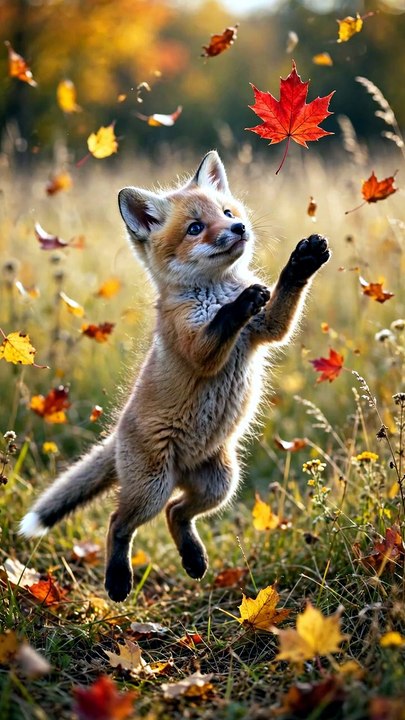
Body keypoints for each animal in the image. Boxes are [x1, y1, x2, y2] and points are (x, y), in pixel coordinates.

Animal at [20, 151, 330, 602]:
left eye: (227, 213)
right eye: (195, 228)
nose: (238, 228)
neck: (214, 290)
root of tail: (117, 434)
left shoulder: (266, 329)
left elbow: (281, 307)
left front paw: (303, 260)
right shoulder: (195, 345)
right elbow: (219, 327)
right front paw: (240, 303)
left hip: (219, 483)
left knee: (176, 513)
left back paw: (194, 558)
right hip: (152, 487)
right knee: (118, 522)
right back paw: (118, 580)